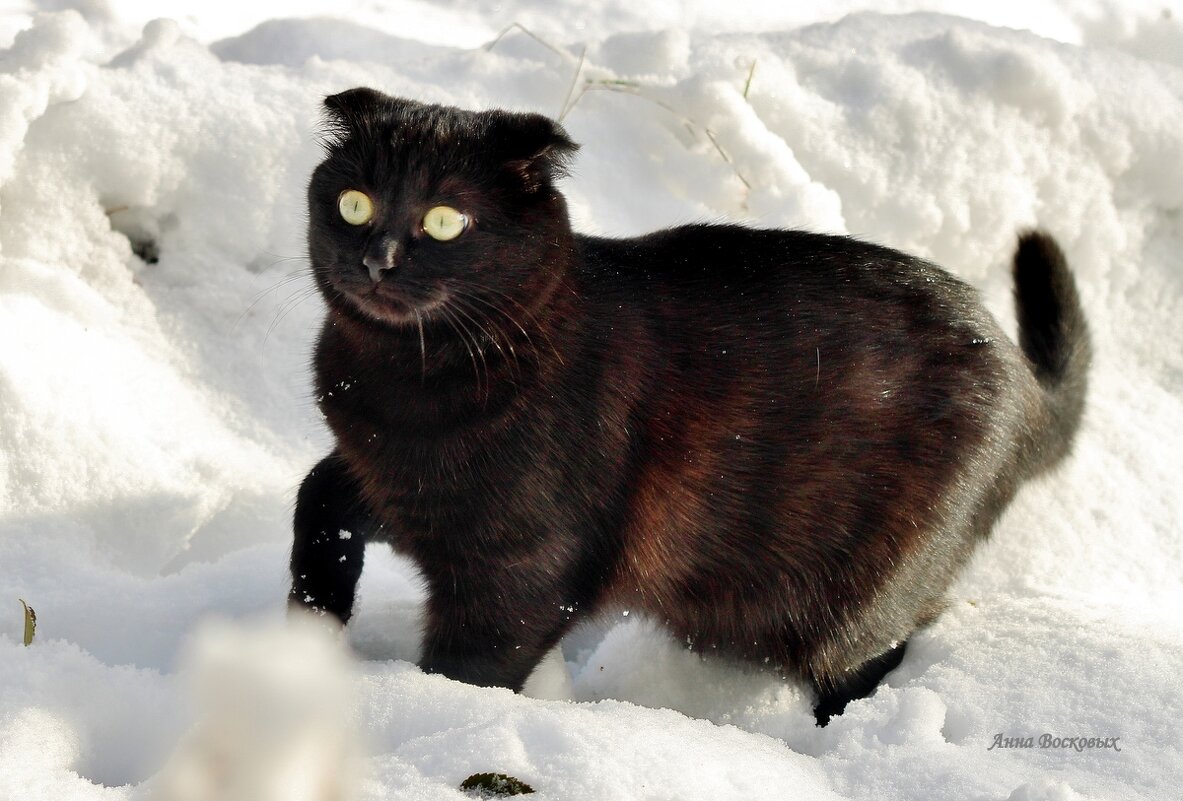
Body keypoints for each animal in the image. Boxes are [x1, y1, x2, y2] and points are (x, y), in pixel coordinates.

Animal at [288, 87, 1088, 724]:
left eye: (445, 220)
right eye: (353, 204)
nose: (377, 259)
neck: (397, 384)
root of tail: (1021, 378)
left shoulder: (518, 569)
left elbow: (469, 668)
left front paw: (418, 709)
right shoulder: (383, 479)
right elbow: (315, 498)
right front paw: (309, 628)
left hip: (862, 593)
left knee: (865, 658)